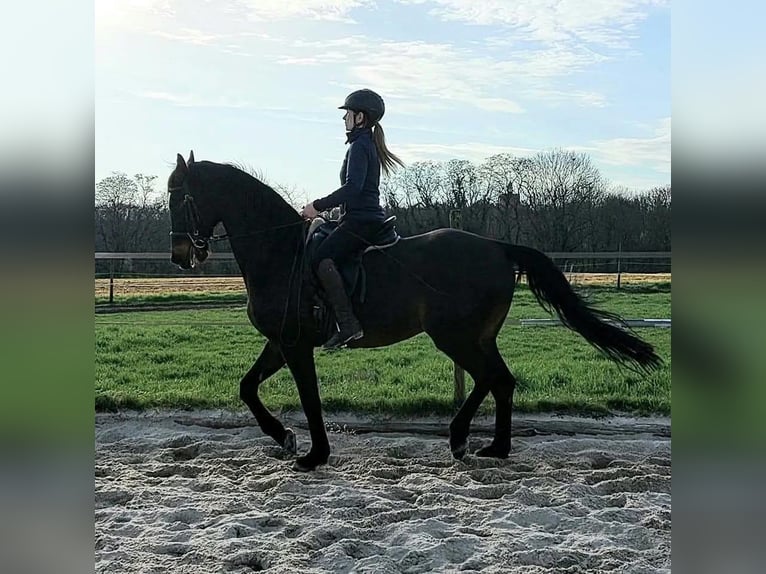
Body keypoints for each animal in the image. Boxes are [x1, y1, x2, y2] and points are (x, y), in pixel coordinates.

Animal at [168, 152, 664, 472]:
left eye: (179, 196)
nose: (180, 256)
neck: (280, 252)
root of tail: (498, 246)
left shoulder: (295, 345)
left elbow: (309, 399)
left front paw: (314, 454)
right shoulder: (281, 341)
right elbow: (247, 388)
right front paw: (285, 438)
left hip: (455, 336)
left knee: (492, 378)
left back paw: (462, 438)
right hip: (475, 337)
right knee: (501, 381)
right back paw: (493, 447)